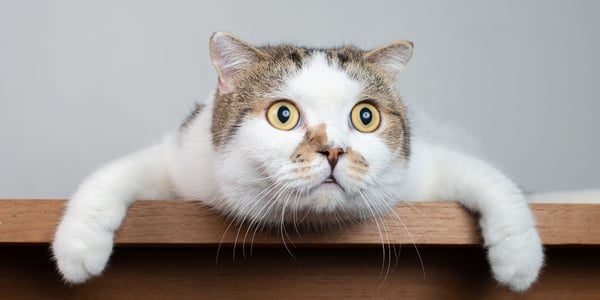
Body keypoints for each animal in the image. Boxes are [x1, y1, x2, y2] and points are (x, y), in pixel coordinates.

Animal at [51, 32, 544, 290]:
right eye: (283, 115)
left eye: (366, 117)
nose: (333, 150)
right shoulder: (183, 159)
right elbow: (116, 174)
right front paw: (78, 246)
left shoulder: (423, 168)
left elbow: (492, 181)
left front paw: (519, 258)